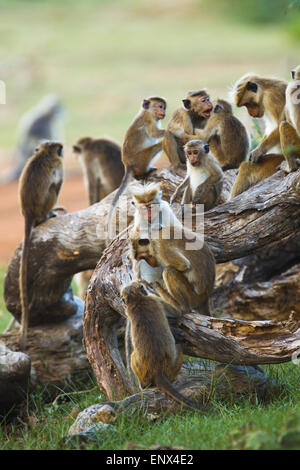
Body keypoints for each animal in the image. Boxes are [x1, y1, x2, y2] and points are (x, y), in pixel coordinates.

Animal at [120, 282, 207, 412]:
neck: (137, 300)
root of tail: (158, 371)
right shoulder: (154, 299)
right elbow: (177, 312)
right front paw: (157, 286)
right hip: (170, 368)